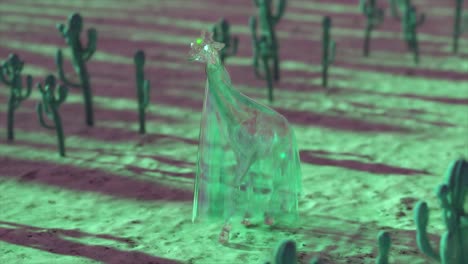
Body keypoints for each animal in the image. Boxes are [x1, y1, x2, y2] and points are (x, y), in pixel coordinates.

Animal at [188, 31, 302, 243]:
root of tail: (290, 130)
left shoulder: (247, 156)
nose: (190, 56)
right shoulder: (241, 154)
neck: (236, 115)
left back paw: (270, 217)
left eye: (206, 47)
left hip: (279, 156)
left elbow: (235, 186)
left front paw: (224, 232)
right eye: (193, 44)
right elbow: (246, 184)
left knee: (277, 182)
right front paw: (245, 219)